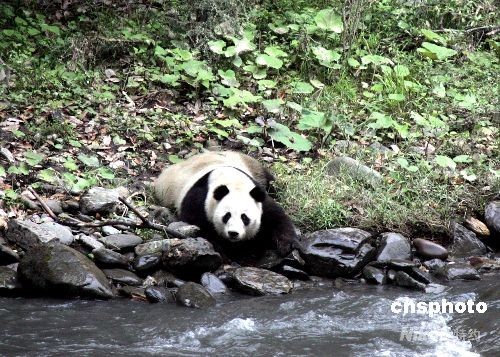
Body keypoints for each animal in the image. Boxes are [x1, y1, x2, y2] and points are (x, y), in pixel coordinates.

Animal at [154, 151, 298, 258]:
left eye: (244, 218)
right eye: (226, 216)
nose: (233, 233)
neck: (233, 181)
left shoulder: (259, 198)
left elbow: (278, 217)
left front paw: (286, 245)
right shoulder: (200, 200)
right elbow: (198, 225)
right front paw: (223, 248)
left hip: (251, 165)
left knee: (270, 181)